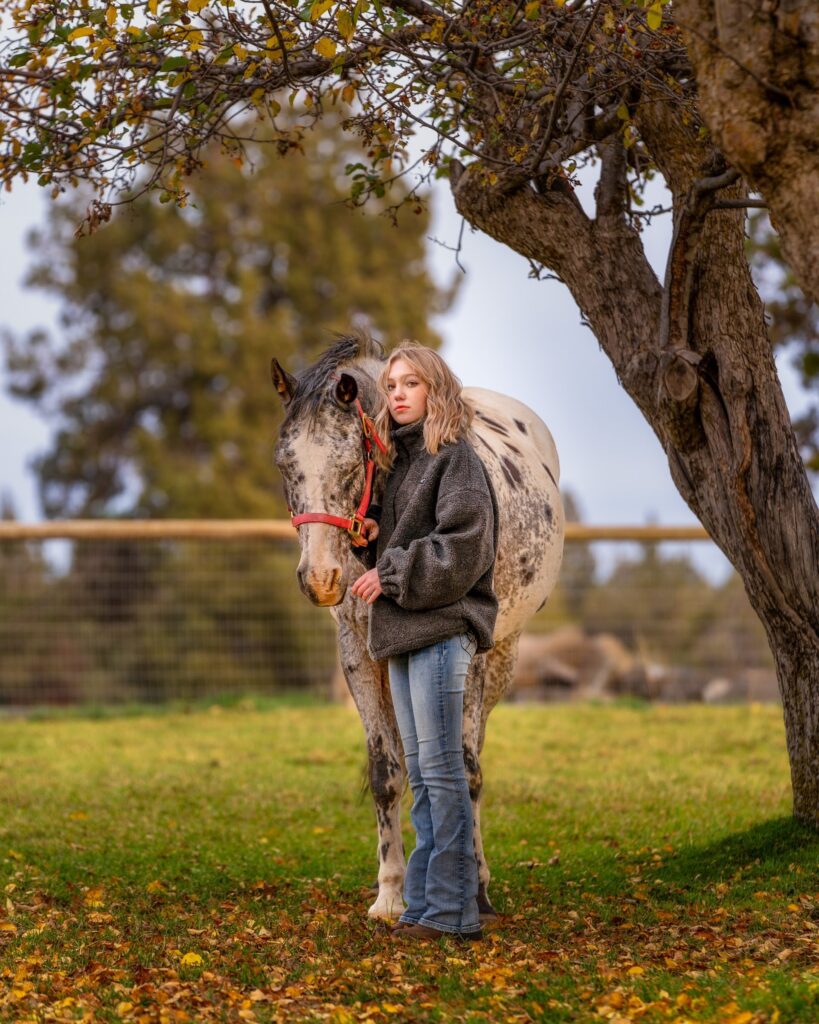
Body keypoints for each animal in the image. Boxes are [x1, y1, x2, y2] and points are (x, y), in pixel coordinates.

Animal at [272, 334, 564, 921]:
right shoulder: (358, 653)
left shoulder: (475, 652)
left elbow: (466, 770)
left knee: (469, 758)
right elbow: (386, 773)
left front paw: (474, 889)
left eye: (348, 464)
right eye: (285, 465)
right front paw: (389, 893)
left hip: (504, 655)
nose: (320, 579)